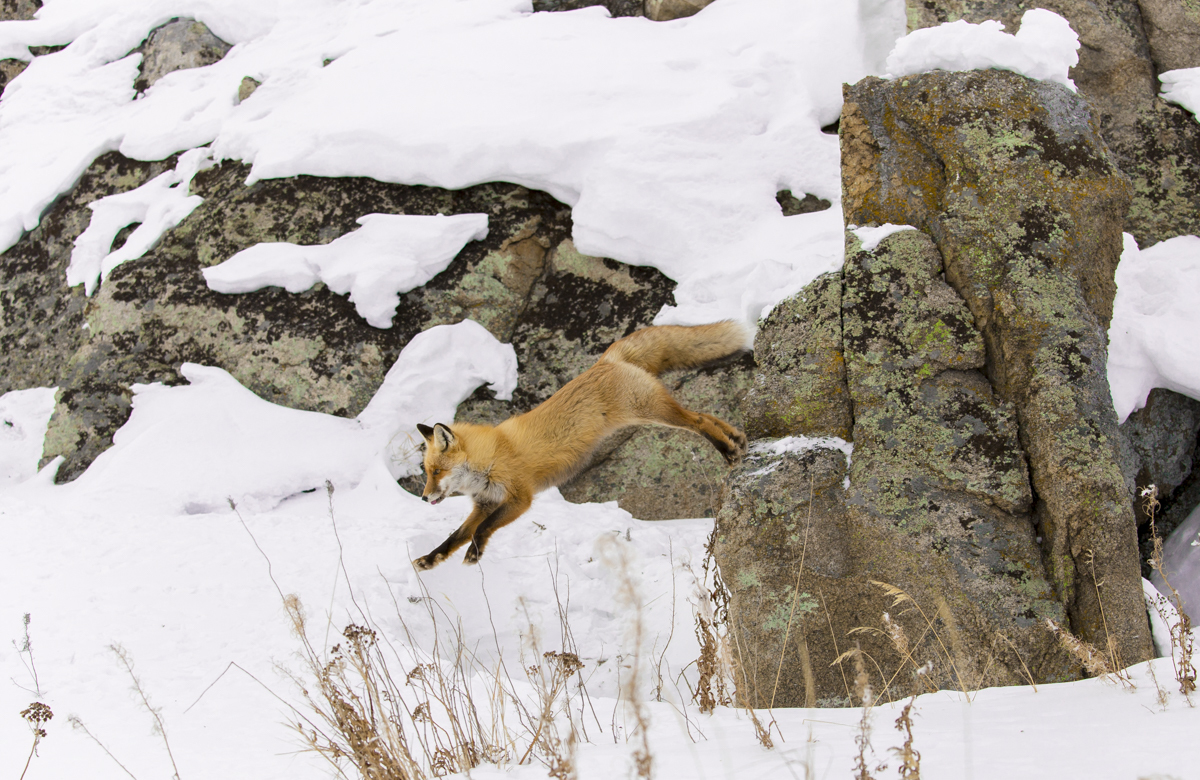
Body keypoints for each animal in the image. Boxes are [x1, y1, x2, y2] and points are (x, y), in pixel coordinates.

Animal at [415, 319, 748, 568]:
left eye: (436, 471)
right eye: (427, 471)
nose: (423, 497)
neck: (489, 459)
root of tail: (604, 359)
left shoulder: (520, 498)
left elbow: (482, 530)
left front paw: (474, 552)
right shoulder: (485, 503)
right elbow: (456, 535)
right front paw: (431, 559)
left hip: (651, 411)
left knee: (700, 422)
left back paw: (729, 450)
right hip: (654, 413)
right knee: (705, 415)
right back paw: (738, 439)